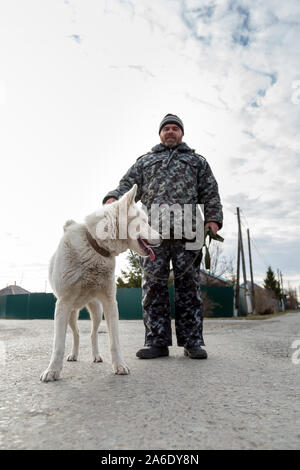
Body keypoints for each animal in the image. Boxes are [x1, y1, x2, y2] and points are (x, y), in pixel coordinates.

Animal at [41, 185, 162, 382]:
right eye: (144, 221)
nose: (163, 238)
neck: (95, 246)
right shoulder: (63, 304)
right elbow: (58, 344)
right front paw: (52, 370)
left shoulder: (110, 302)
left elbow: (114, 341)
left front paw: (119, 365)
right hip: (71, 313)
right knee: (76, 334)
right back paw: (73, 355)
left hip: (97, 312)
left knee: (92, 334)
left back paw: (96, 356)